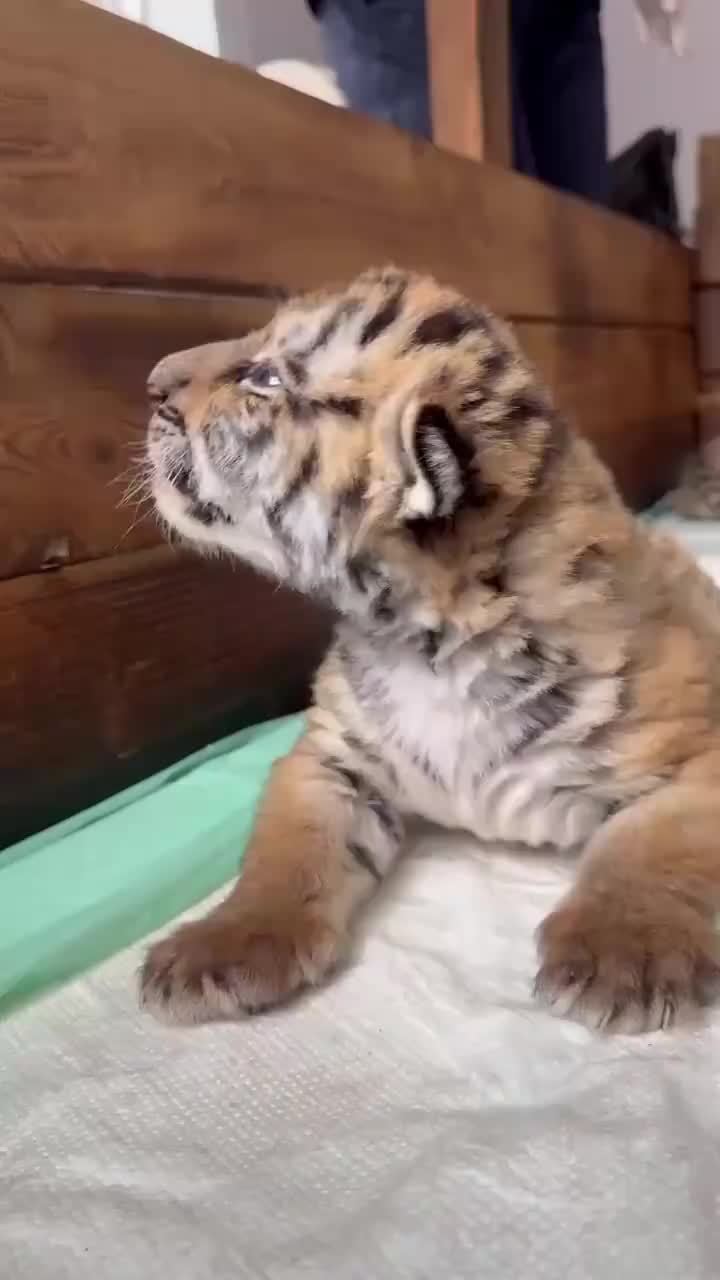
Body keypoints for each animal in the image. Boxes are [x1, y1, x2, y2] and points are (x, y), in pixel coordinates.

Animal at [141, 265, 720, 1034]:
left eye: (266, 378)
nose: (151, 380)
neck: (433, 648)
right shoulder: (330, 760)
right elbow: (284, 854)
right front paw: (220, 946)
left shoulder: (696, 760)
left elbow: (652, 846)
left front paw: (621, 952)